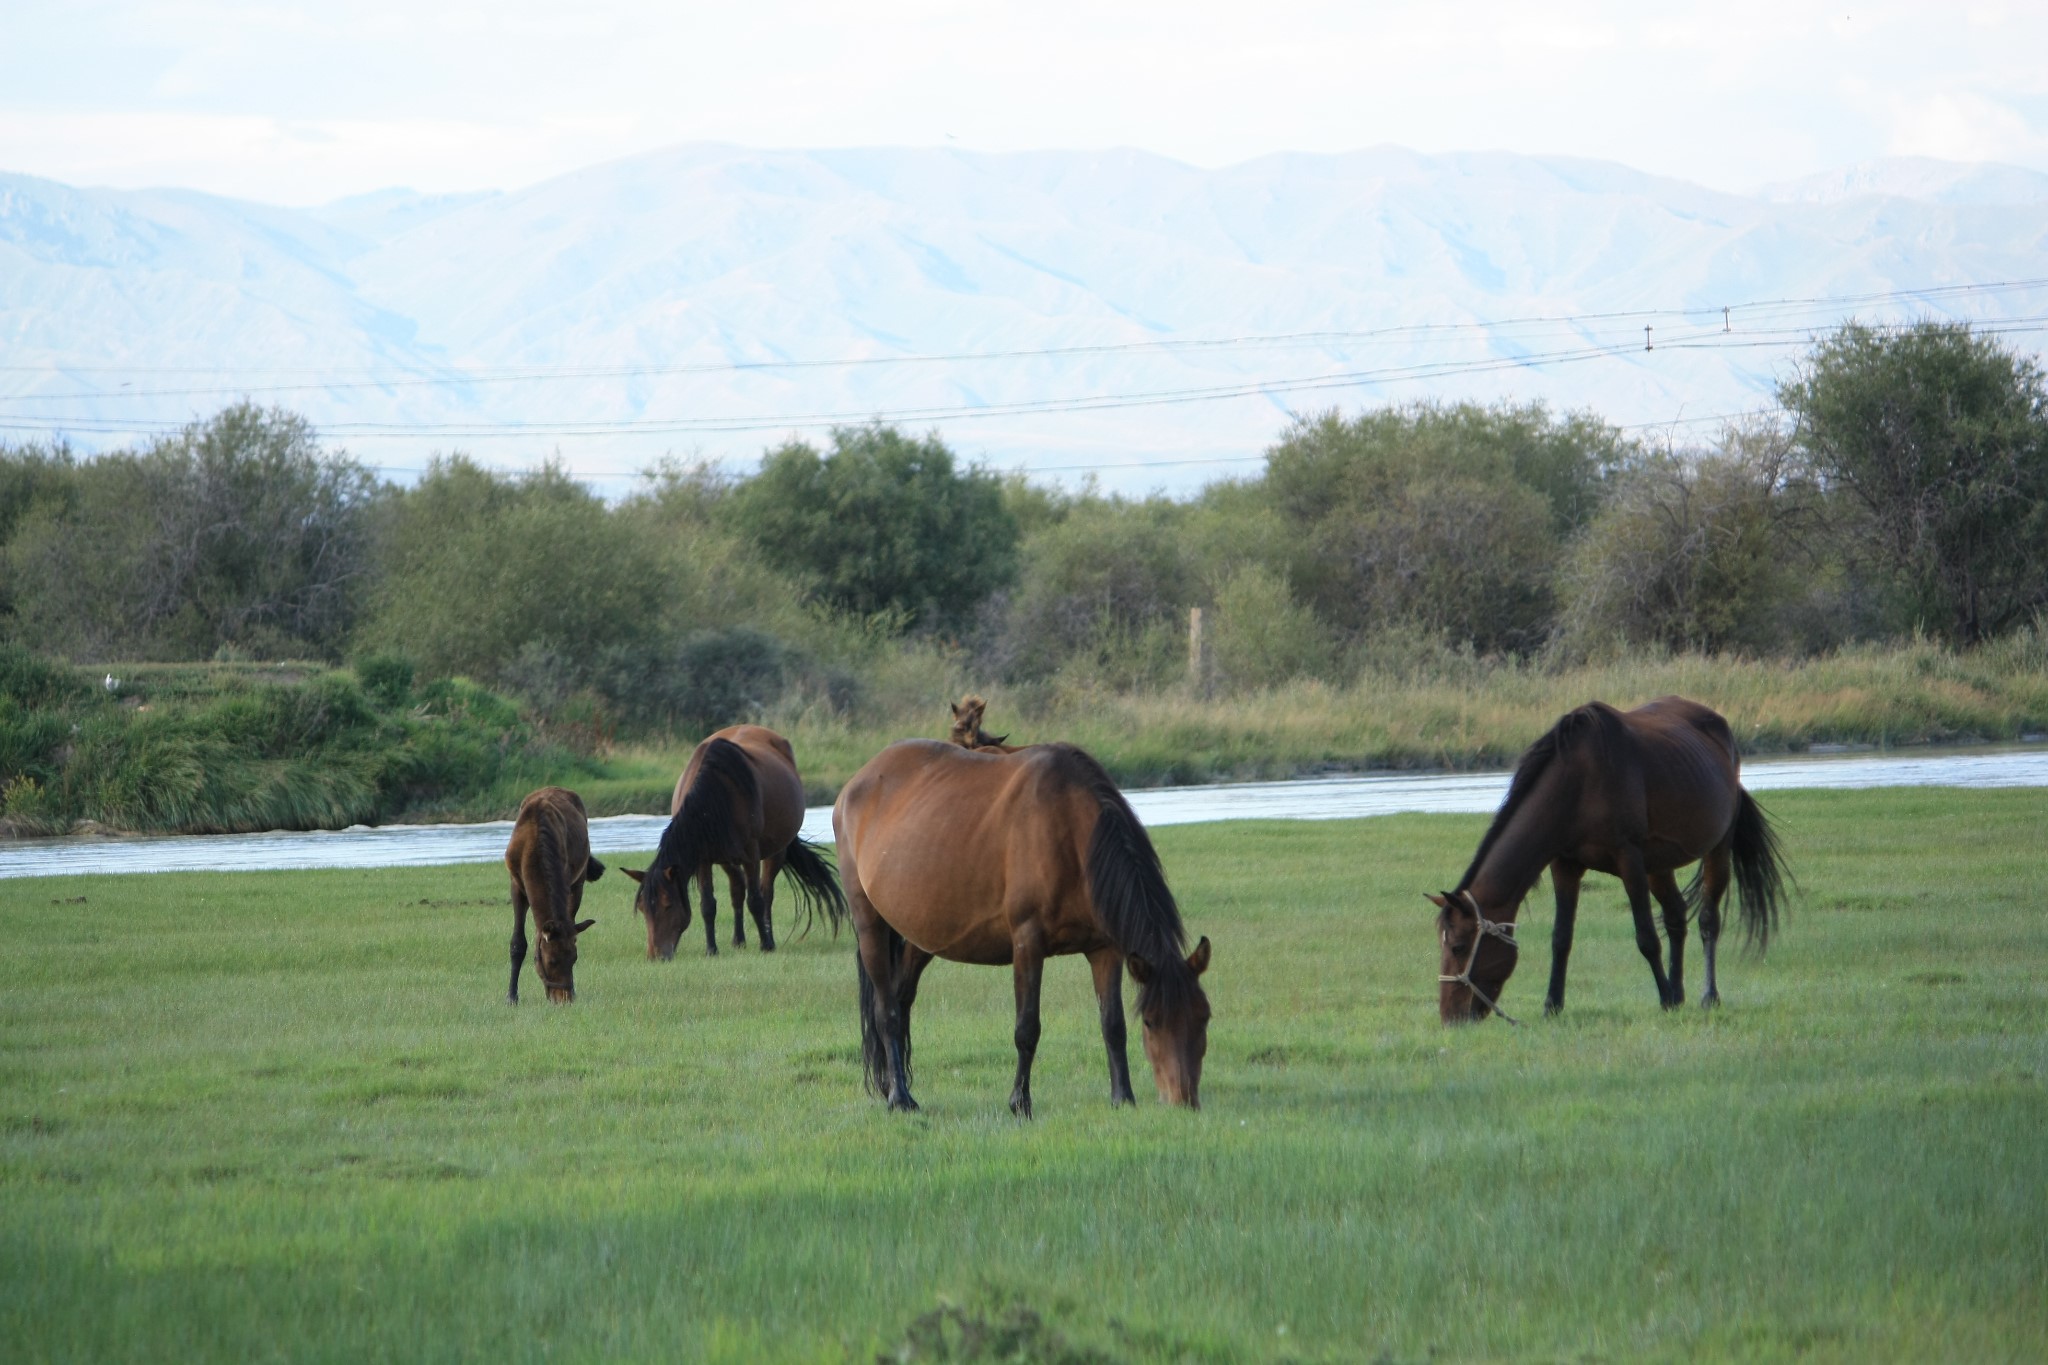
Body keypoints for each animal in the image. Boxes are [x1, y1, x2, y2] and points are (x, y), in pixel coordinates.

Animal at [505, 789, 602, 1002]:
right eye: (551, 961)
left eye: (574, 958)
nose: (564, 998)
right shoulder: (516, 885)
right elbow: (518, 943)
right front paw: (511, 996)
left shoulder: (566, 880)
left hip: (579, 880)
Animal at [622, 724, 847, 961]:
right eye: (642, 908)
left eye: (668, 904)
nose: (655, 955)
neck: (716, 797)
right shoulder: (703, 859)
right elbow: (708, 904)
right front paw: (711, 949)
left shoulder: (751, 854)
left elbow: (756, 900)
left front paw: (766, 944)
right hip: (726, 857)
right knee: (737, 889)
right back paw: (738, 940)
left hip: (776, 850)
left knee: (766, 892)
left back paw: (768, 937)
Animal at [835, 740, 1204, 1113]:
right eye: (1151, 1021)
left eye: (1204, 1017)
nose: (1184, 1099)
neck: (1070, 831)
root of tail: (855, 784)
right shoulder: (1028, 942)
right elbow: (1027, 1028)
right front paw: (1019, 1101)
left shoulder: (1104, 949)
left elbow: (1112, 1024)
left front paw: (1123, 1097)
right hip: (871, 925)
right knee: (887, 1012)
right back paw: (899, 1097)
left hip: (921, 934)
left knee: (901, 999)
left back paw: (894, 1085)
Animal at [1433, 695, 1785, 1023]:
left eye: (1458, 947)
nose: (1451, 1018)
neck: (1579, 781)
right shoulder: (1565, 866)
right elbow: (1561, 938)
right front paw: (1552, 1005)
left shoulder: (1629, 860)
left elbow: (1646, 937)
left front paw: (1664, 999)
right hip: (1658, 866)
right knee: (1676, 917)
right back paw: (1678, 992)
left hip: (1717, 849)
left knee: (1708, 920)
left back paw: (1706, 996)